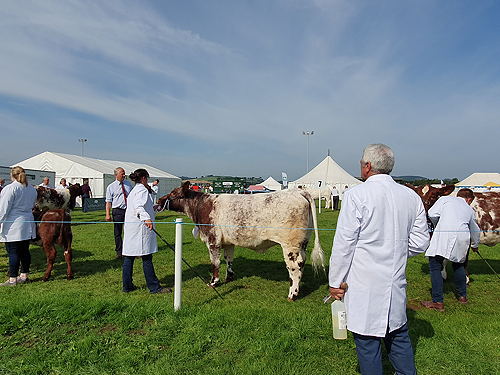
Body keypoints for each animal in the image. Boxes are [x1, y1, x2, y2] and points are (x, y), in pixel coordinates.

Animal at [158, 181, 326, 302]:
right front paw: (229, 278)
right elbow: (229, 259)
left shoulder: (213, 240)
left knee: (295, 267)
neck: (201, 206)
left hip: (291, 245)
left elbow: (215, 263)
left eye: (173, 193)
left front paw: (214, 282)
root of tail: (299, 191)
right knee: (302, 264)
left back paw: (292, 295)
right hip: (303, 243)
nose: (159, 200)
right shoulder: (228, 242)